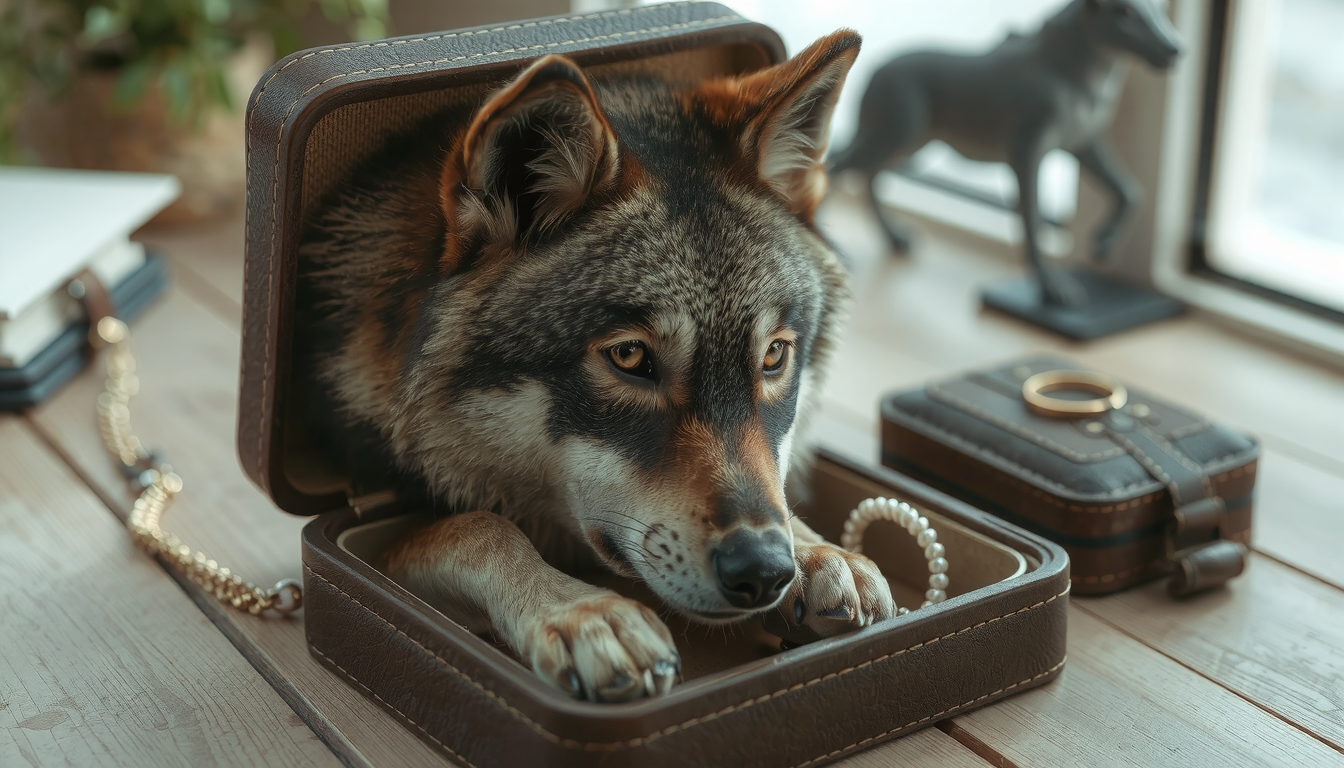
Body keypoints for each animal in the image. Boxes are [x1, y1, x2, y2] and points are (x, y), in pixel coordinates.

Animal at [295, 30, 894, 703]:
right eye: (630, 357)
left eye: (773, 356)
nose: (763, 569)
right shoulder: (386, 538)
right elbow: (481, 527)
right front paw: (584, 612)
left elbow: (782, 501)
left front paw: (821, 553)